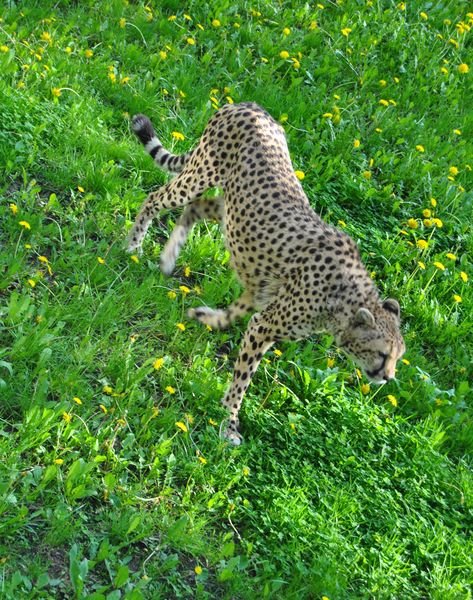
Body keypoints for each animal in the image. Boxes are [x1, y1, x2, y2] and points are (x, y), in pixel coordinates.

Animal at [129, 102, 406, 446]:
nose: (388, 377)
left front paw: (205, 317)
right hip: (200, 173)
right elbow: (243, 377)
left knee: (198, 208)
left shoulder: (261, 292)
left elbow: (233, 313)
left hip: (231, 207)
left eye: (398, 357)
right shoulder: (264, 325)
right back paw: (134, 246)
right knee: (157, 197)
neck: (344, 300)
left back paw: (168, 258)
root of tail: (248, 105)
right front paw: (229, 421)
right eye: (382, 354)